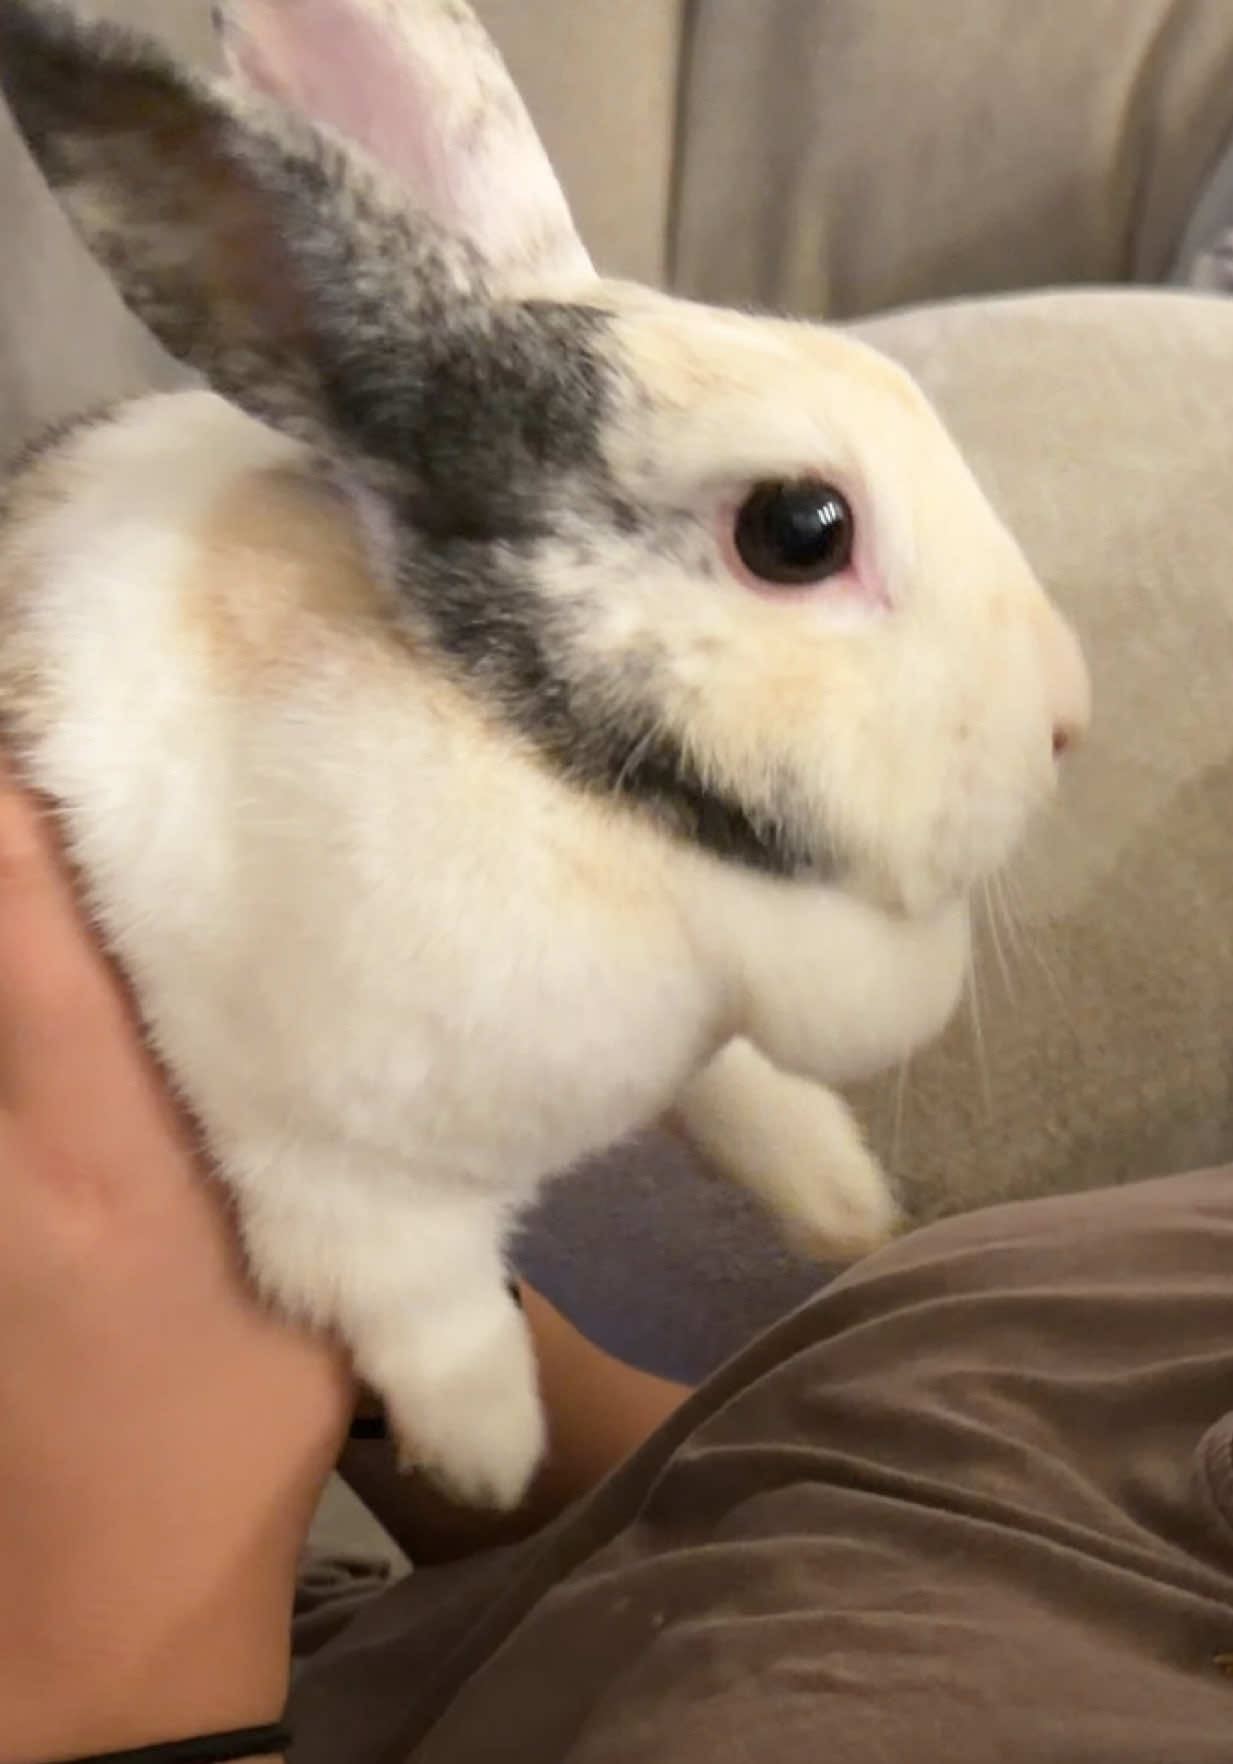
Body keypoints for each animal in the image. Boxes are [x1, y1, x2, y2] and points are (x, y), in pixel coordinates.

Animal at [0, 0, 1089, 1509]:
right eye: (800, 529)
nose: (1070, 716)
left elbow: (737, 1084)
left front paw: (841, 1201)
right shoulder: (328, 1166)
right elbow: (421, 1297)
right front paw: (486, 1453)